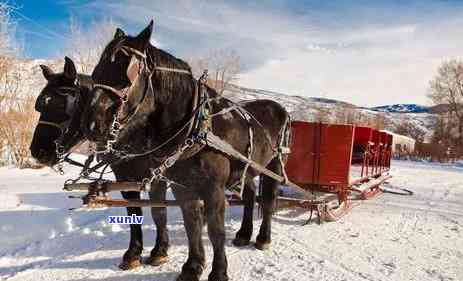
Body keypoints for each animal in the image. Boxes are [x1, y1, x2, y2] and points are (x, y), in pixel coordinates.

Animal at [29, 57, 171, 270]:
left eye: (62, 105)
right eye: (40, 106)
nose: (38, 152)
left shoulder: (157, 177)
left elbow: (159, 211)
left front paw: (160, 251)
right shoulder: (125, 179)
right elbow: (133, 212)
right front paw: (133, 254)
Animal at [84, 21, 290, 280]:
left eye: (127, 74)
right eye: (97, 72)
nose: (92, 125)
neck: (195, 127)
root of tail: (280, 109)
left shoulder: (213, 189)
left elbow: (215, 231)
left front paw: (218, 272)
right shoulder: (181, 186)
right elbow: (191, 224)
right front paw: (192, 266)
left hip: (274, 165)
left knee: (269, 201)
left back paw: (263, 238)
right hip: (247, 168)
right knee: (250, 196)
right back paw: (244, 234)